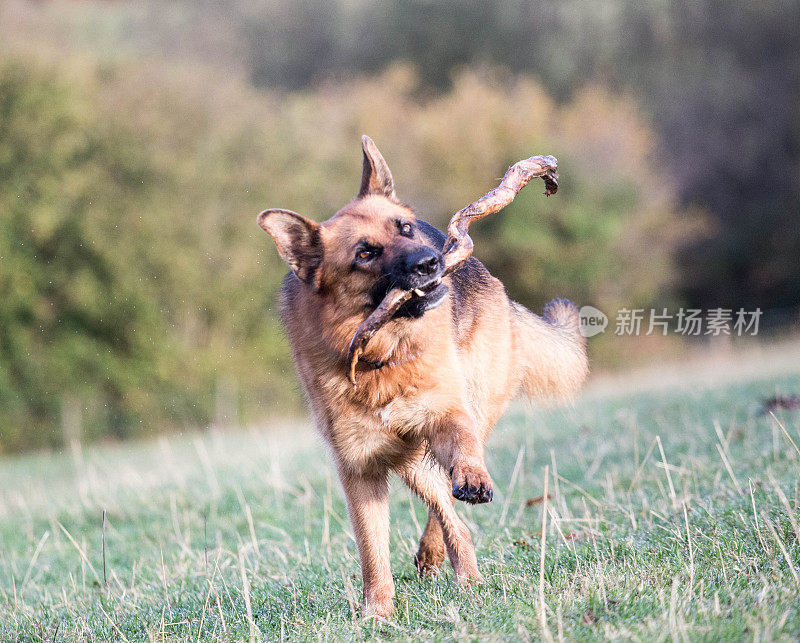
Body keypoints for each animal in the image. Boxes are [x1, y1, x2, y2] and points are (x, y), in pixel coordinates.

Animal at [256, 136, 588, 620]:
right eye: (365, 253)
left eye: (406, 229)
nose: (432, 262)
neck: (383, 358)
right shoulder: (360, 469)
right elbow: (371, 550)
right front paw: (377, 613)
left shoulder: (449, 414)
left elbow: (462, 454)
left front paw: (471, 479)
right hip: (408, 456)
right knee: (444, 507)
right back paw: (449, 562)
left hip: (463, 414)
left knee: (449, 496)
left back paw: (457, 560)